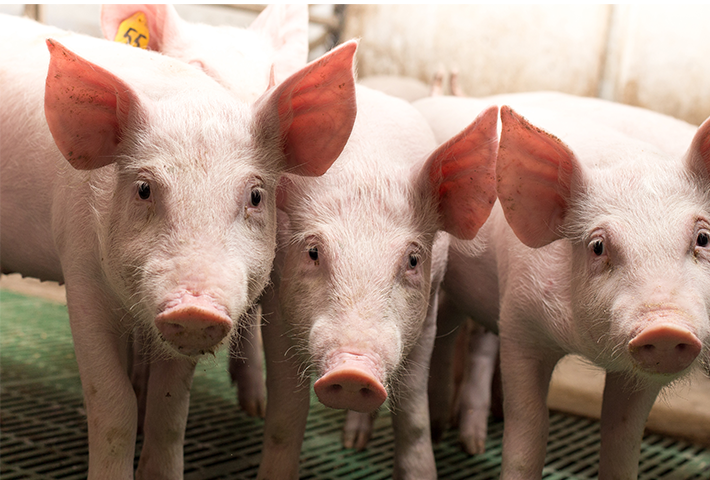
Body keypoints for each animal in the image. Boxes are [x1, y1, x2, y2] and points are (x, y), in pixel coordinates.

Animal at [0, 13, 356, 478]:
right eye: (144, 189)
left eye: (256, 196)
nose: (194, 308)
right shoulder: (78, 274)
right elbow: (113, 402)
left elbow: (169, 410)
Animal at [418, 95, 708, 478]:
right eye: (598, 246)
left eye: (703, 238)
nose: (664, 328)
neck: (586, 348)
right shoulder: (519, 323)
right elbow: (529, 427)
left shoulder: (641, 375)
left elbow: (622, 436)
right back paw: (449, 438)